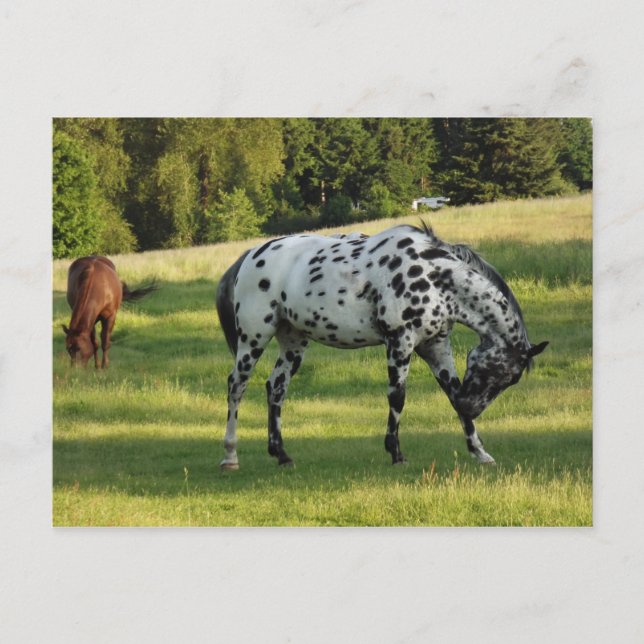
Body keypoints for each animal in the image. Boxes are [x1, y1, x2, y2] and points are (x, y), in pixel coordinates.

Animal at [215, 223, 548, 469]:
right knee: (236, 386)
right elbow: (397, 397)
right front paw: (396, 453)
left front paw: (480, 452)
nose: (472, 408)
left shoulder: (436, 347)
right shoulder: (400, 341)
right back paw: (230, 456)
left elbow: (451, 394)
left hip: (293, 341)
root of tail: (251, 255)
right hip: (253, 338)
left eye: (509, 380)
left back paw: (281, 454)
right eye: (500, 374)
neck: (434, 277)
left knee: (276, 387)